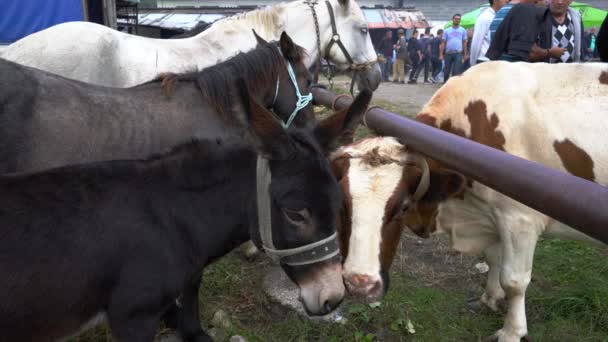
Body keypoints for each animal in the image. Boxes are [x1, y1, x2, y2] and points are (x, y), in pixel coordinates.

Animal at [334, 62, 608, 342]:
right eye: (341, 203)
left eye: (403, 207)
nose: (360, 284)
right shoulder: (492, 216)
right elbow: (493, 258)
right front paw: (490, 297)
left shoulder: (520, 219)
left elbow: (514, 281)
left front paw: (512, 330)